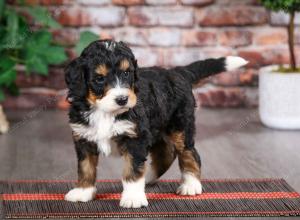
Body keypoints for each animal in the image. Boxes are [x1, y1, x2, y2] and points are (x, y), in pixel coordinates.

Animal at [64, 40, 247, 208]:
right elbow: (85, 167)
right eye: (99, 79)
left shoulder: (135, 138)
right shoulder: (84, 138)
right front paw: (83, 191)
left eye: (126, 73)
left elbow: (132, 169)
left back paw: (190, 185)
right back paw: (149, 177)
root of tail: (177, 72)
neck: (104, 112)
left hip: (180, 125)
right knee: (165, 154)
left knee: (189, 153)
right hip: (157, 128)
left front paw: (133, 198)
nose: (122, 99)